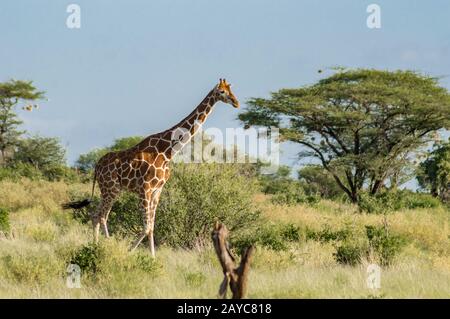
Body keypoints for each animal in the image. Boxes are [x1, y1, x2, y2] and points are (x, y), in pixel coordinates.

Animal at [63, 79, 241, 258]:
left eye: (230, 89)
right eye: (222, 92)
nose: (236, 102)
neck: (168, 151)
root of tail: (96, 166)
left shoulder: (157, 190)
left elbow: (152, 227)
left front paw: (152, 257)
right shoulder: (145, 189)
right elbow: (147, 227)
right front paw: (130, 252)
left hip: (109, 189)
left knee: (95, 215)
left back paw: (96, 246)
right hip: (111, 188)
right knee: (102, 216)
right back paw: (106, 246)